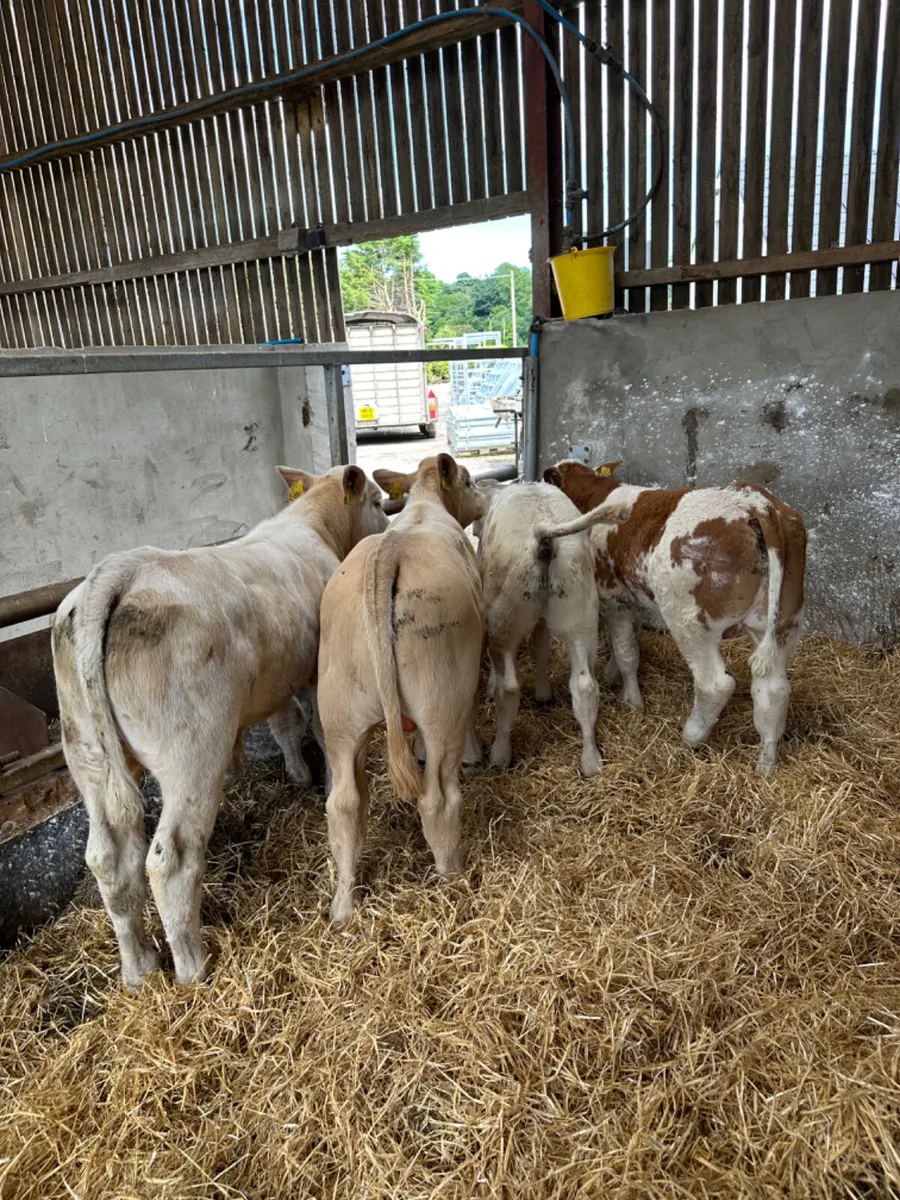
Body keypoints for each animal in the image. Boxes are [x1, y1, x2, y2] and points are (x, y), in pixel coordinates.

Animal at [52, 464, 388, 989]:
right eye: (376, 500)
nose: (390, 521)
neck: (313, 527)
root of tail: (118, 571)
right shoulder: (316, 670)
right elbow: (312, 724)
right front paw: (324, 780)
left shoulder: (276, 678)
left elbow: (284, 723)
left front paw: (298, 774)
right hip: (193, 750)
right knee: (170, 858)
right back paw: (192, 967)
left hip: (86, 752)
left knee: (108, 858)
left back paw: (138, 967)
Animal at [316, 453, 486, 924]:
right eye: (469, 481)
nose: (484, 499)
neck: (425, 504)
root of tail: (390, 551)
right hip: (443, 702)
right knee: (438, 799)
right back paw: (453, 879)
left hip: (339, 715)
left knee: (344, 805)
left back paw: (343, 907)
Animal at [475, 479, 628, 778]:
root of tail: (542, 531)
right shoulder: (544, 621)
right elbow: (540, 648)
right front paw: (543, 694)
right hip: (581, 615)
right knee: (585, 686)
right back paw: (591, 761)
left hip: (503, 620)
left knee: (508, 689)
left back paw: (500, 754)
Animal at [541, 460, 807, 777]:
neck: (595, 494)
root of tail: (755, 502)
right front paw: (613, 675)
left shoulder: (613, 597)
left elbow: (628, 653)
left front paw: (633, 702)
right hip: (780, 622)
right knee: (774, 688)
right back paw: (766, 764)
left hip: (689, 620)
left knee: (715, 684)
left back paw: (692, 736)